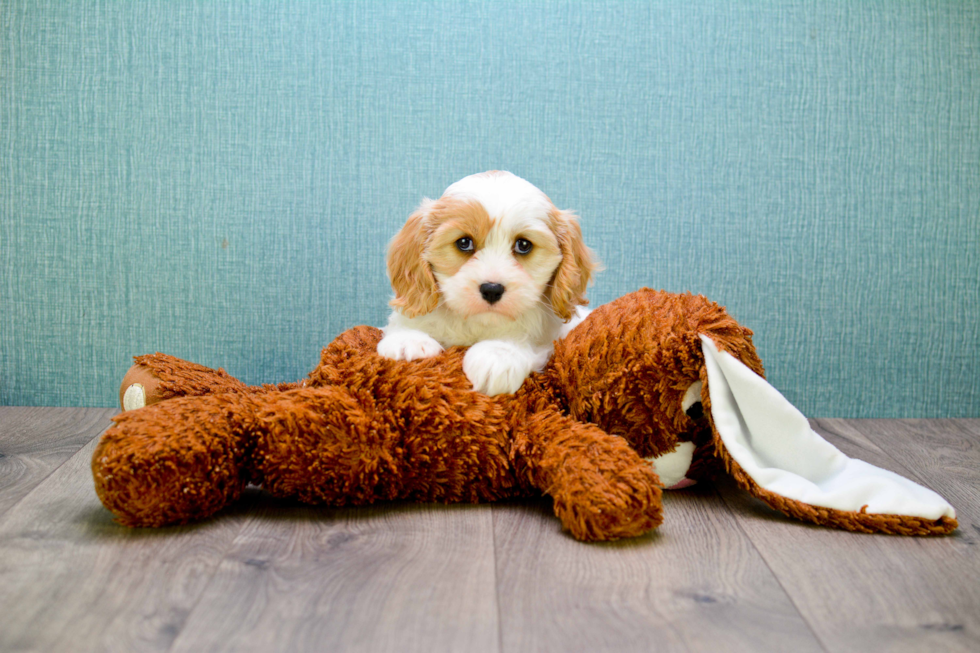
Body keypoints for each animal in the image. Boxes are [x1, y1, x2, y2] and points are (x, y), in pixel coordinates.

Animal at [380, 171, 596, 394]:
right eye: (464, 243)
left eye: (523, 245)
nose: (492, 289)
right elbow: (404, 323)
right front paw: (408, 341)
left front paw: (497, 356)